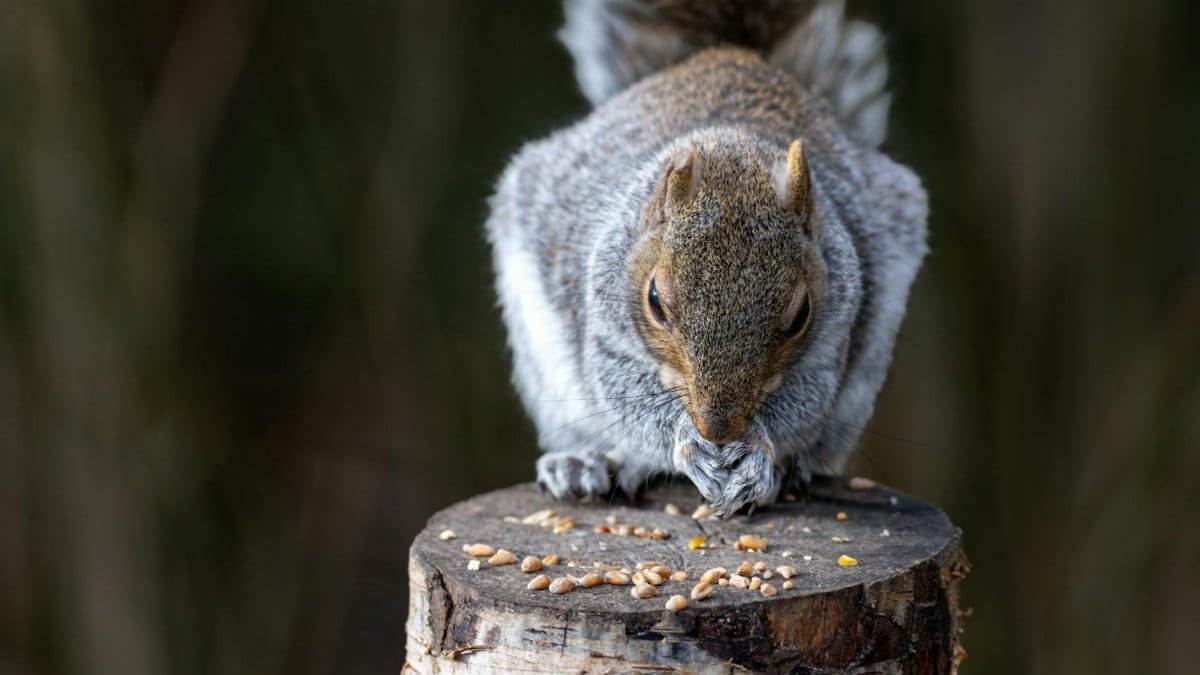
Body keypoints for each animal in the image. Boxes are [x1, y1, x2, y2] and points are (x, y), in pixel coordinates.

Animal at [487, 0, 928, 516]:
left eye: (801, 314)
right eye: (655, 301)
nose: (718, 430)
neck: (728, 145)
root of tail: (728, 55)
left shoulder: (833, 330)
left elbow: (806, 397)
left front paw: (757, 453)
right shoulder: (605, 319)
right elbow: (626, 393)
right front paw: (686, 441)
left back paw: (786, 472)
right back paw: (586, 463)